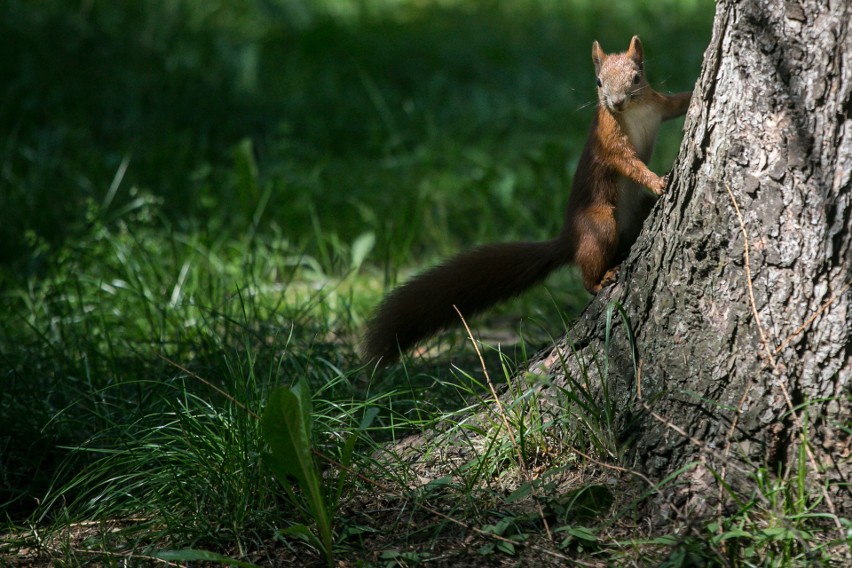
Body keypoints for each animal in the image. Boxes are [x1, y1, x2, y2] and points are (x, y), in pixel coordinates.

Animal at [362, 35, 688, 364]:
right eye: (598, 81)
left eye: (636, 77)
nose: (617, 102)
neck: (633, 112)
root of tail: (569, 238)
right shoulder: (609, 141)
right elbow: (628, 164)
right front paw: (655, 180)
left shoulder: (658, 105)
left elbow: (678, 103)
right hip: (600, 222)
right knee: (589, 267)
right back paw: (600, 279)